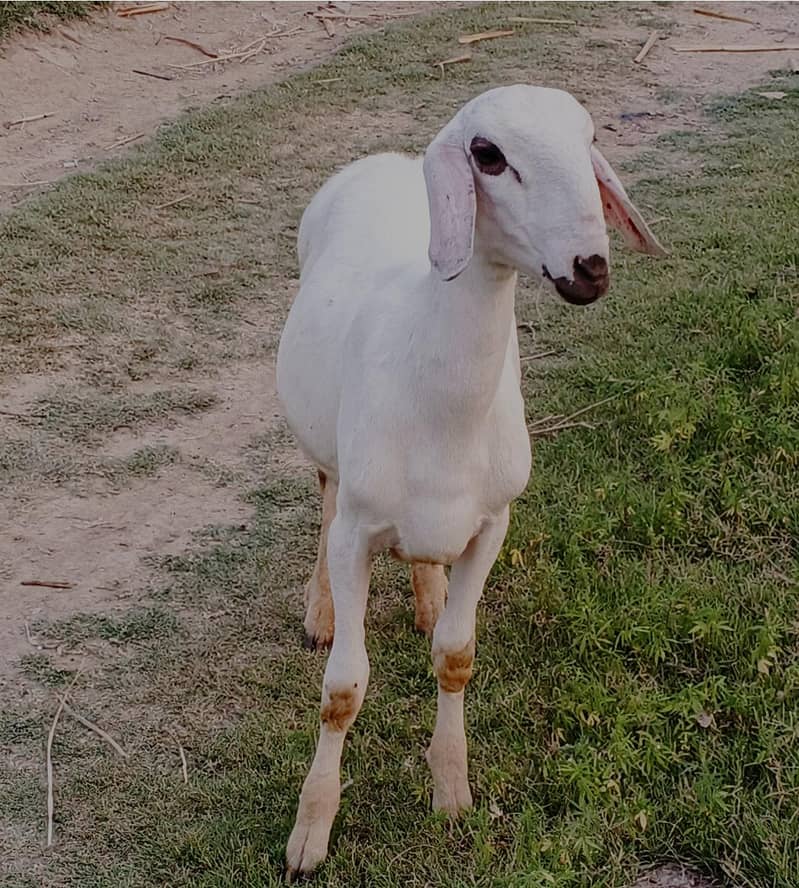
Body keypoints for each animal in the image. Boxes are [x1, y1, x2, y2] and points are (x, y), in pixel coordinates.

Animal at [276, 84, 665, 878]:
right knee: (324, 493)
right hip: (327, 452)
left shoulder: (493, 522)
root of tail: (382, 161)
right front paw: (309, 836)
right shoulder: (357, 531)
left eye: (590, 138)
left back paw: (427, 596)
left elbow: (455, 656)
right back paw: (319, 610)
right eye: (487, 155)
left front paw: (451, 792)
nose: (591, 268)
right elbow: (342, 689)